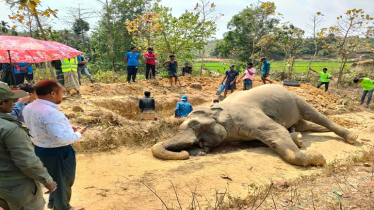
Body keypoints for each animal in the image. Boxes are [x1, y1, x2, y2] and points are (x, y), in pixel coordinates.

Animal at [151, 84, 356, 167]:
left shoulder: (248, 119)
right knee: (304, 123)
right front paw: (297, 140)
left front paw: (318, 159)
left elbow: (276, 132)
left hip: (295, 98)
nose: (186, 153)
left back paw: (352, 137)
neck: (220, 108)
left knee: (314, 114)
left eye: (195, 124)